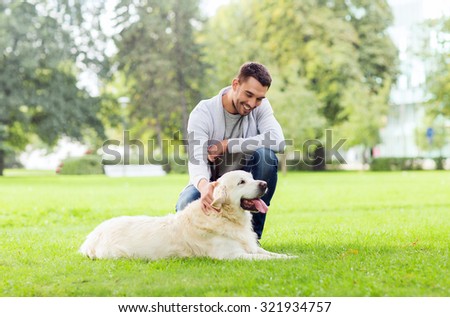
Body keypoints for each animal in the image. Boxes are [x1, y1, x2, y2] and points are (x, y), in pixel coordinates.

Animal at [79, 170, 294, 260]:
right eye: (241, 182)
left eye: (251, 177)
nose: (264, 184)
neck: (224, 216)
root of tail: (92, 236)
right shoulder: (232, 255)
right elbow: (267, 259)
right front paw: (288, 260)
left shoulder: (251, 247)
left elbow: (271, 254)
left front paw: (291, 256)